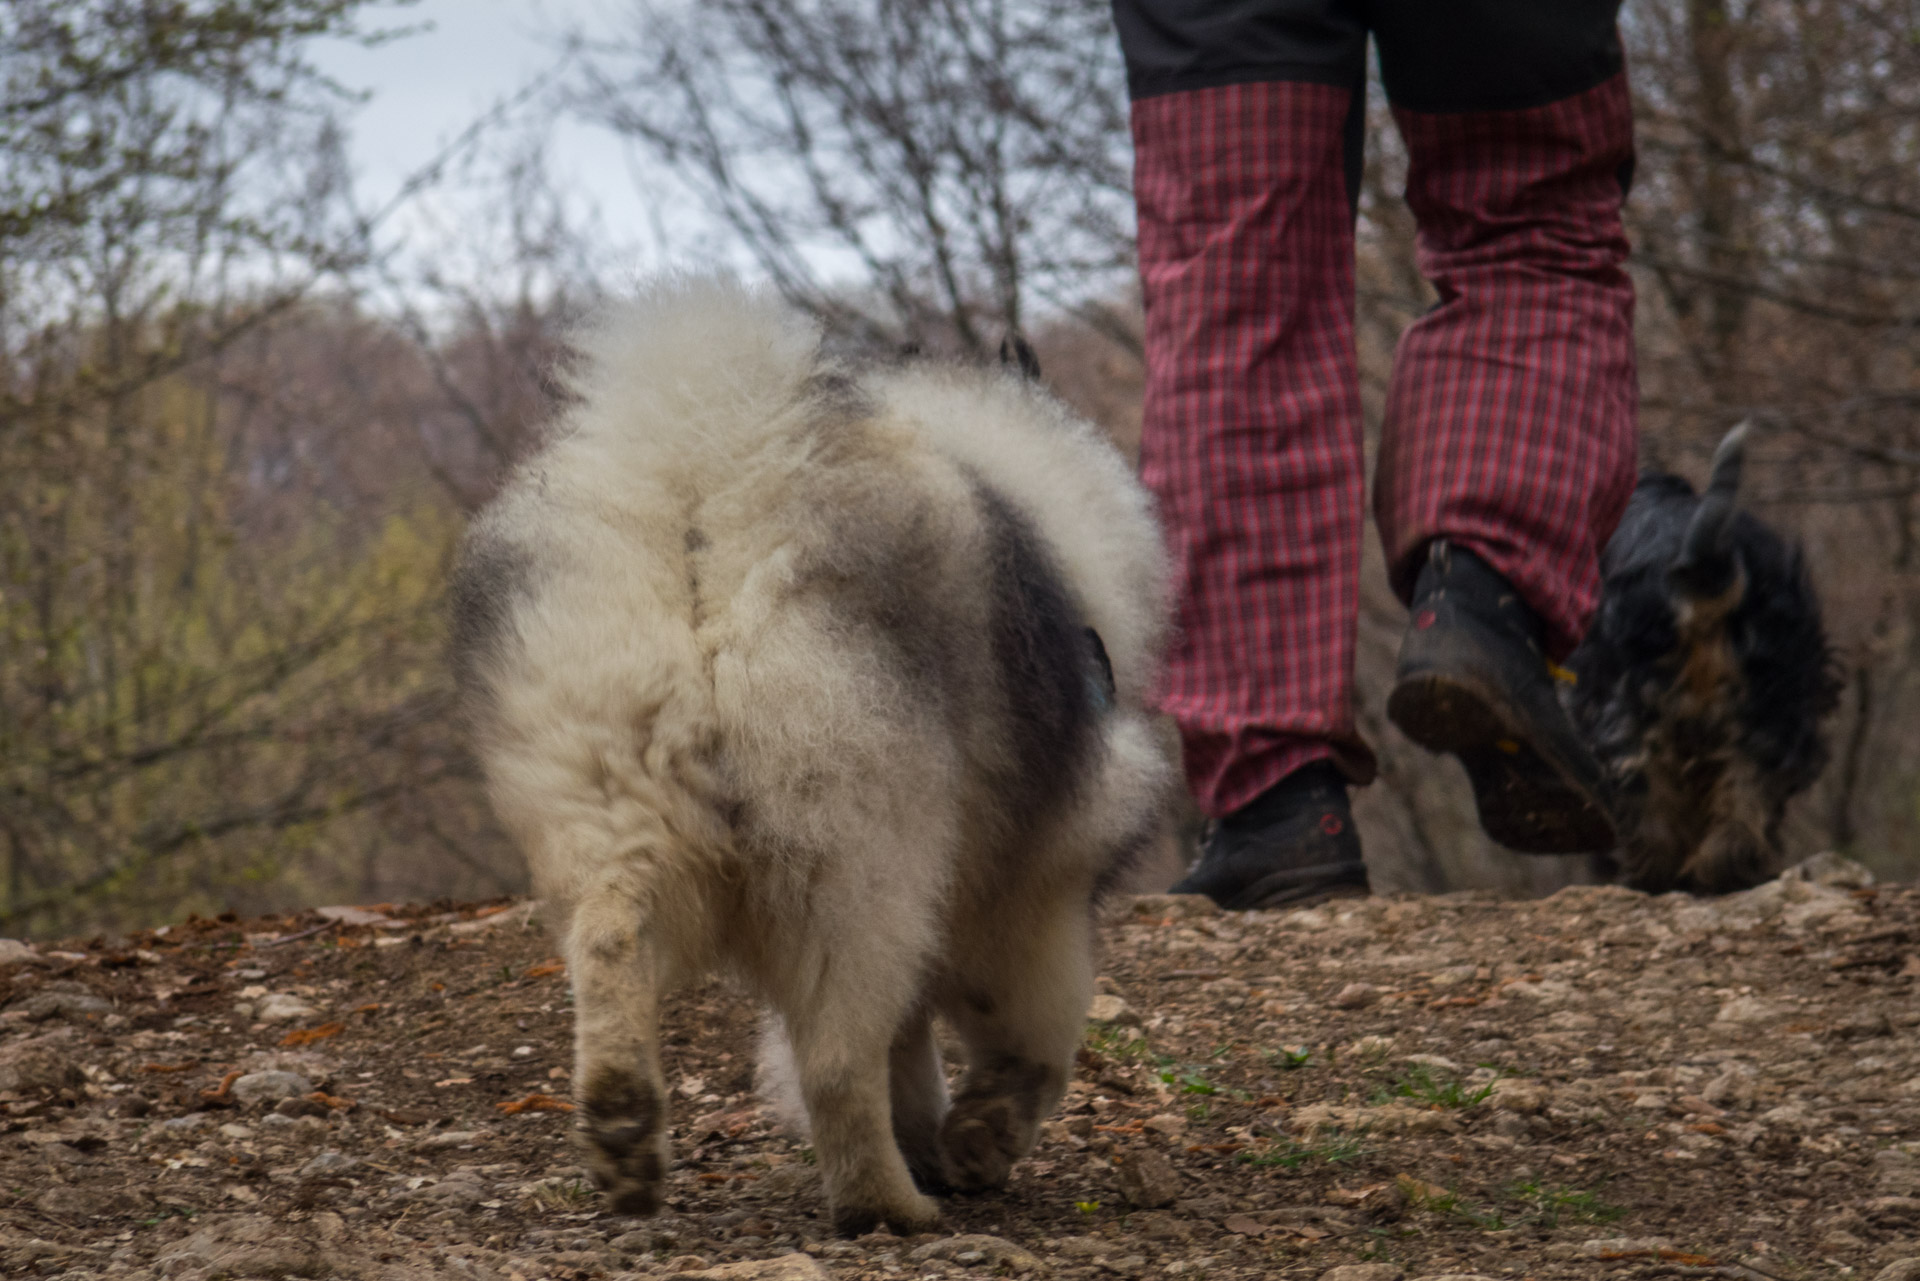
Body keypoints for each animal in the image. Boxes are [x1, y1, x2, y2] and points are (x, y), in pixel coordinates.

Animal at [453, 278, 1167, 1229]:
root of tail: (711, 503)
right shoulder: (1039, 884)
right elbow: (1032, 1037)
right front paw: (980, 1139)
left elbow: (916, 1048)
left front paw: (940, 1137)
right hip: (859, 856)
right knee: (835, 1058)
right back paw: (889, 1205)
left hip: (621, 797)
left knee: (609, 937)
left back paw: (623, 1126)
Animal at [1559, 426, 1843, 898]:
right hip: (1773, 701)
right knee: (1746, 798)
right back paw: (1727, 872)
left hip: (1623, 710)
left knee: (1643, 809)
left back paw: (1646, 876)